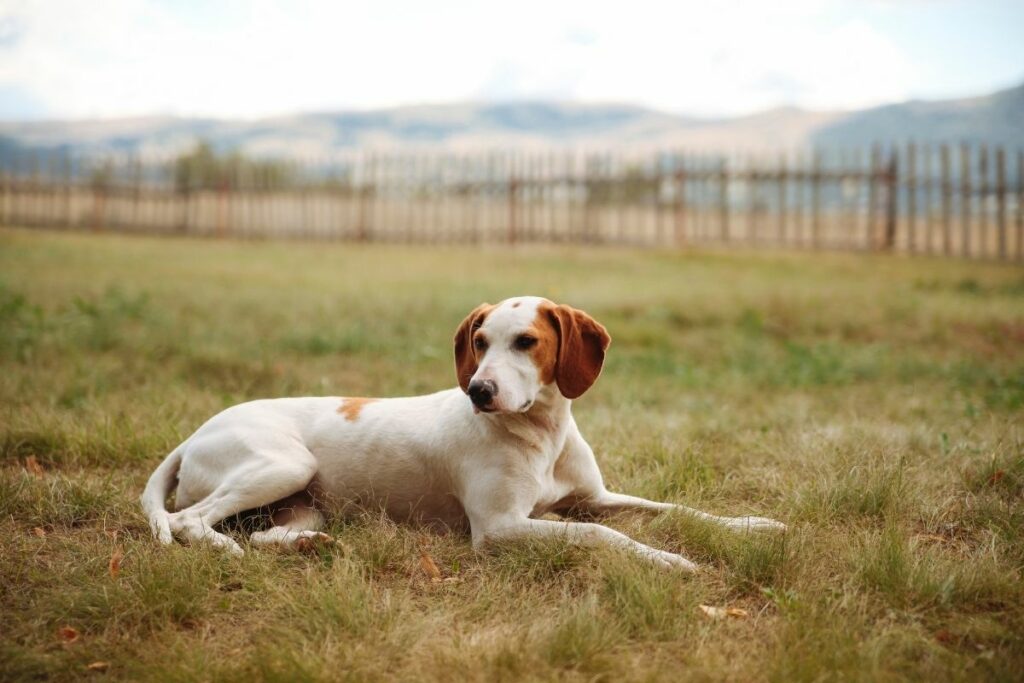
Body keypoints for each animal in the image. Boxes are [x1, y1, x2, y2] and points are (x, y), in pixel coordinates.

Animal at [142, 296, 782, 569]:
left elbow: (677, 509)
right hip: (282, 465)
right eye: (478, 342)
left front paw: (753, 525)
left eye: (526, 341)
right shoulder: (499, 529)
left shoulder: (594, 498)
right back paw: (222, 548)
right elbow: (601, 536)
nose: (478, 390)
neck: (541, 434)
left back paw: (309, 547)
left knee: (264, 534)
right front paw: (671, 562)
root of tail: (194, 435)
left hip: (304, 502)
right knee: (189, 520)